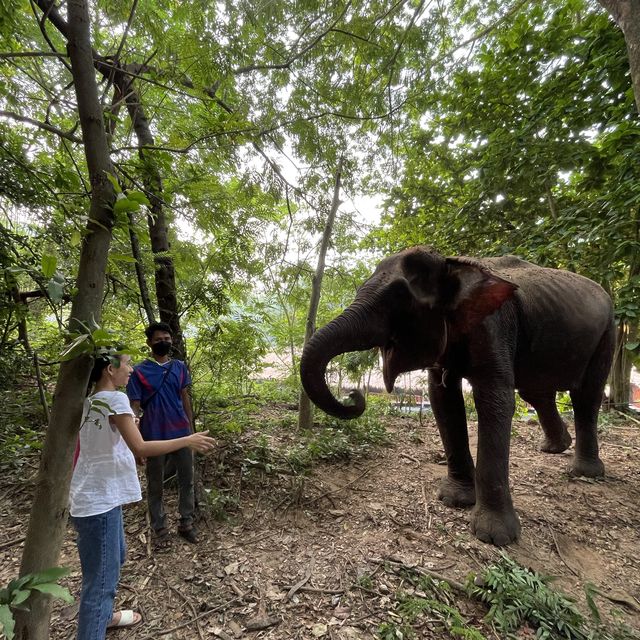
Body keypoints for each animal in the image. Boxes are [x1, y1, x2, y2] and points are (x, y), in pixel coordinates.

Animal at [300, 248, 616, 548]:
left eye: (399, 298)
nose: (353, 394)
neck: (451, 263)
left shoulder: (494, 324)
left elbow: (494, 398)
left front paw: (495, 536)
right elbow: (442, 397)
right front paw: (455, 500)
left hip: (608, 333)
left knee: (586, 396)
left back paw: (585, 472)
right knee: (537, 391)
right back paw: (554, 448)